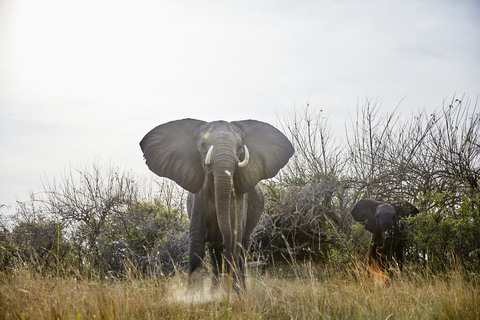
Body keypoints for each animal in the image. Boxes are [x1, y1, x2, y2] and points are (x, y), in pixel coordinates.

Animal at [141, 119, 294, 294]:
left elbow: (235, 236)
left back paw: (240, 289)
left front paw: (234, 293)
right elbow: (197, 239)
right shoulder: (198, 198)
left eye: (240, 147)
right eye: (202, 145)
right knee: (215, 253)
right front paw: (194, 296)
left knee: (241, 248)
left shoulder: (239, 197)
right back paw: (216, 291)